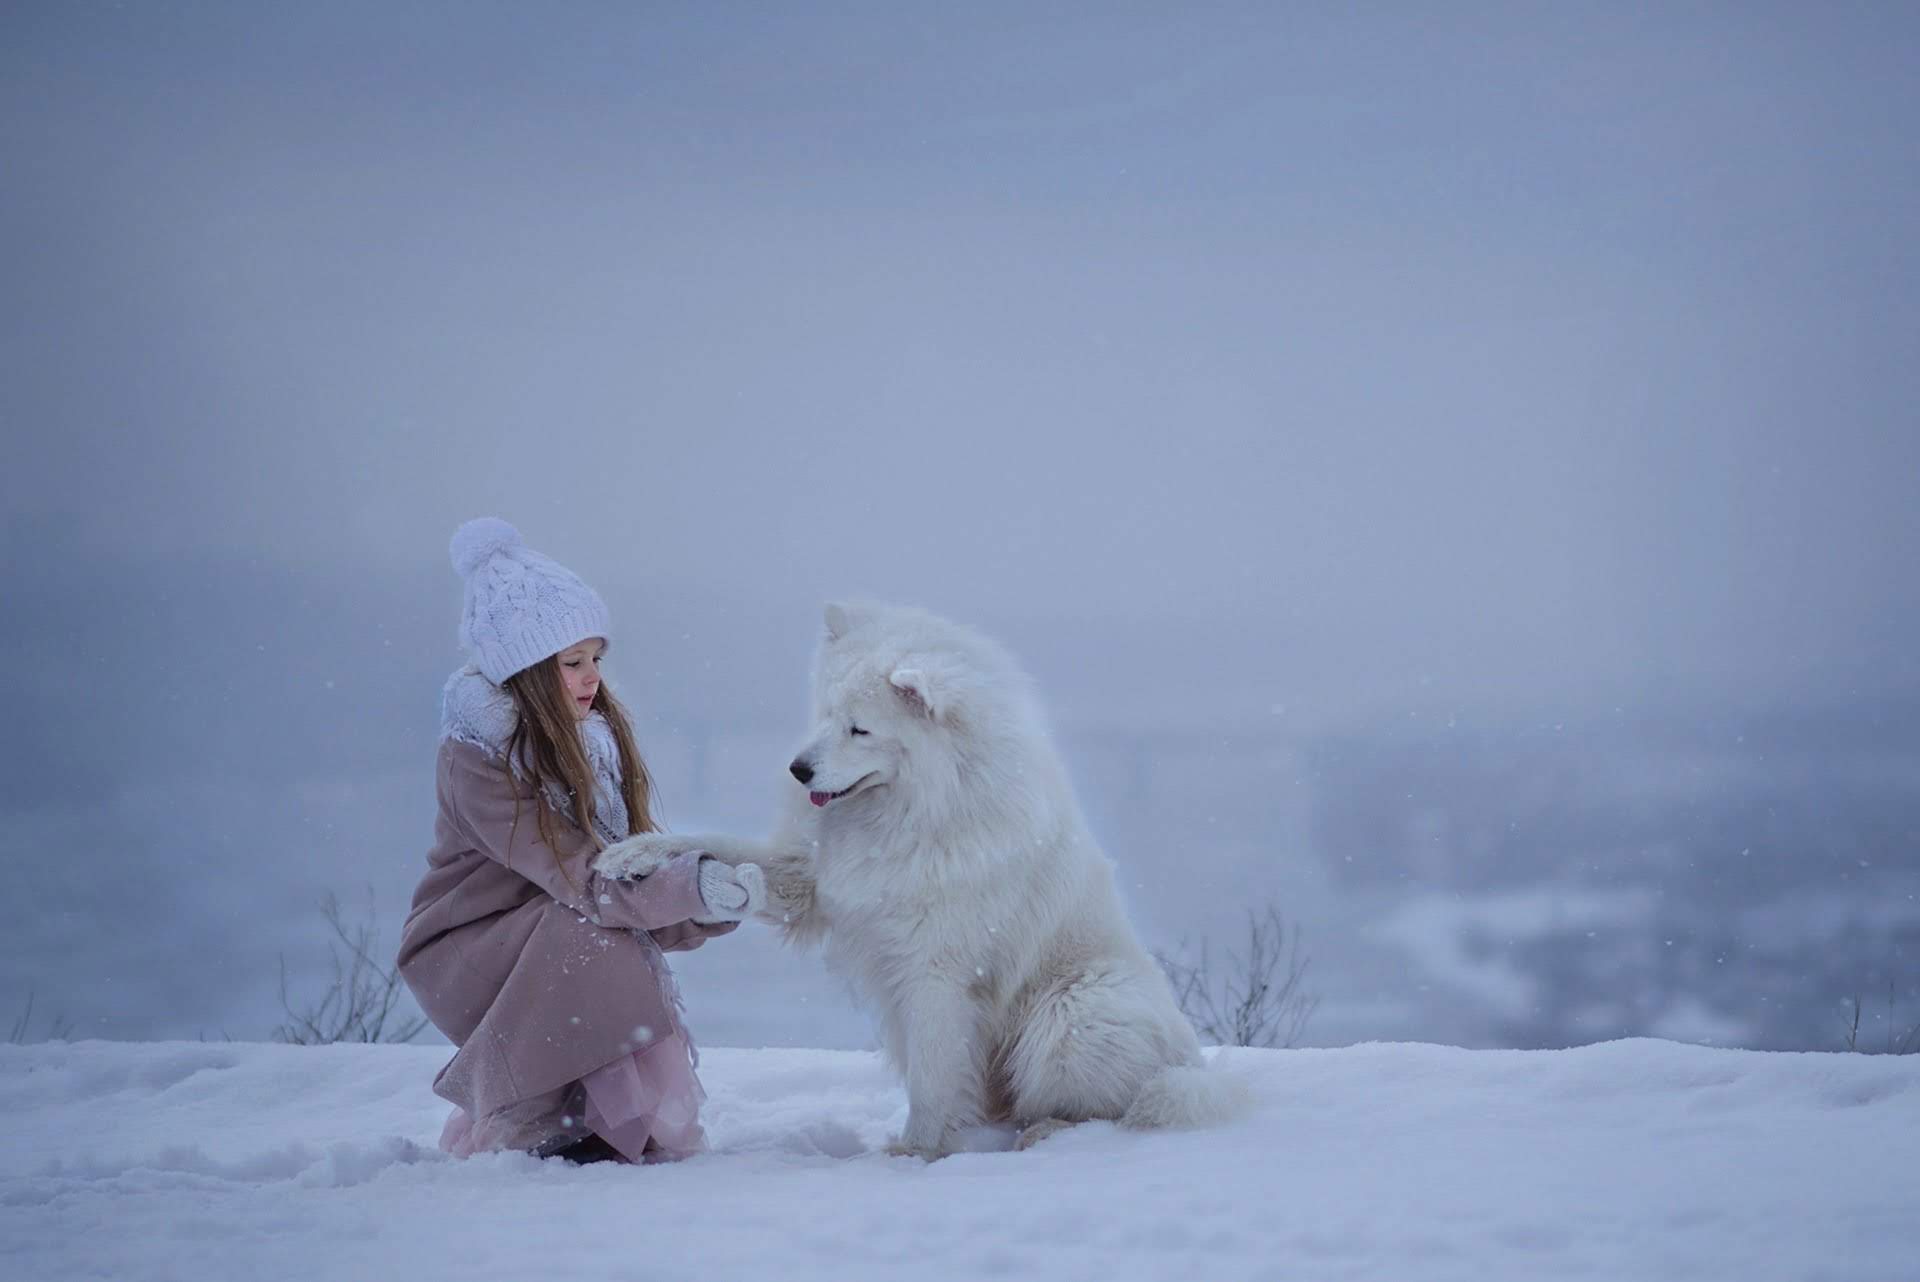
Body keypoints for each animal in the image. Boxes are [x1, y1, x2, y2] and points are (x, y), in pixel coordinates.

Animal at [595, 606, 1244, 1159]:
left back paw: (1048, 1132)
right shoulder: (811, 877)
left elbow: (934, 1073)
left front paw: (916, 1153)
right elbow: (713, 845)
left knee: (1114, 1104)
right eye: (826, 715)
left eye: (859, 729)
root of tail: (1190, 1065)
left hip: (1076, 1010)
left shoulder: (937, 968)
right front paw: (632, 856)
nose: (798, 769)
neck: (916, 809)